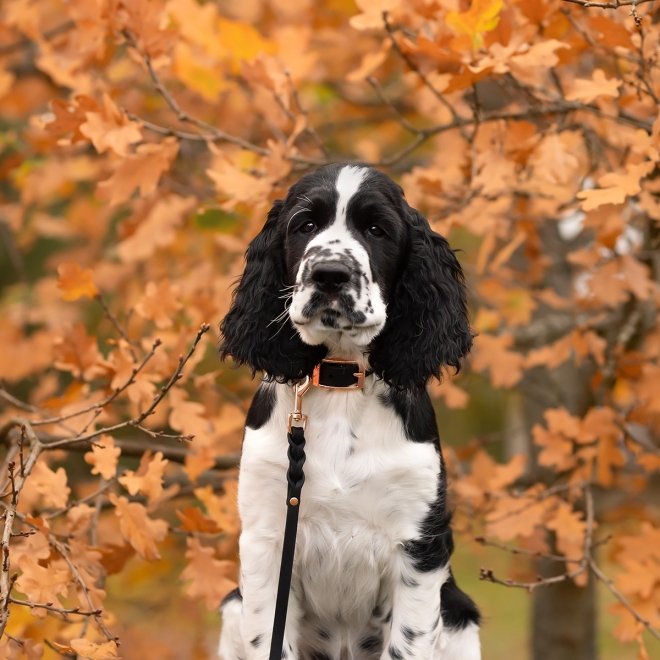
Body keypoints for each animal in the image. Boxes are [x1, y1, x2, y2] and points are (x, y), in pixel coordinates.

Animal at [217, 165, 480, 660]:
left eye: (377, 230)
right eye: (305, 225)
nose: (330, 275)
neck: (340, 382)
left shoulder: (420, 548)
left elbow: (406, 643)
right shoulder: (266, 539)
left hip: (460, 618)